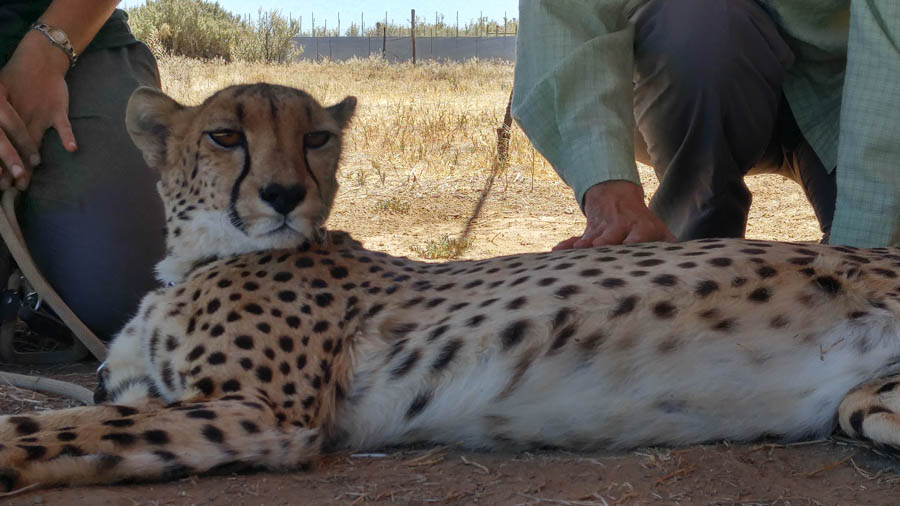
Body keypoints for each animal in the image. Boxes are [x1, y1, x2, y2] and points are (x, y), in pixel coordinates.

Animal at [1, 82, 900, 490]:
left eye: (318, 138)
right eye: (225, 136)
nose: (285, 195)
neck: (200, 258)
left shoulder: (263, 416)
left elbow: (40, 430)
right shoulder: (184, 406)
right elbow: (89, 421)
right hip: (869, 404)